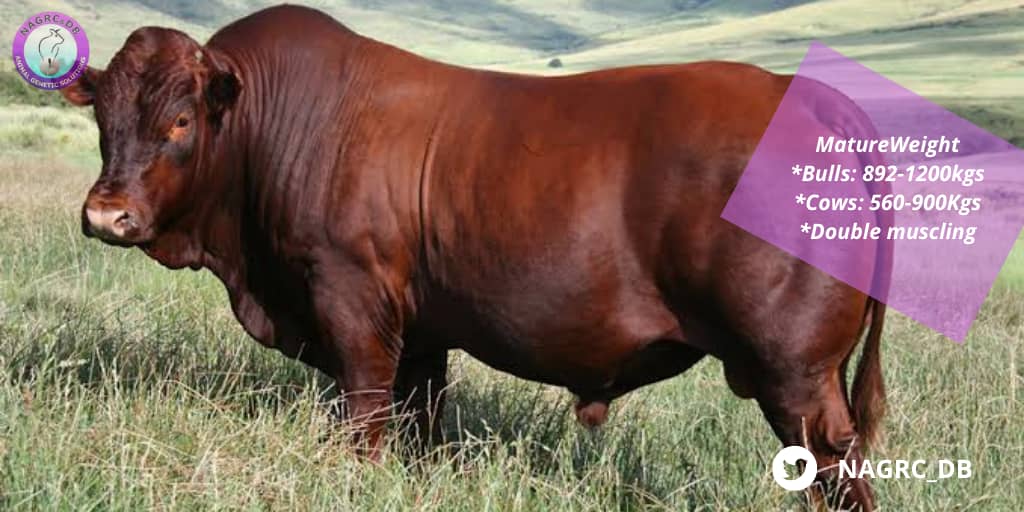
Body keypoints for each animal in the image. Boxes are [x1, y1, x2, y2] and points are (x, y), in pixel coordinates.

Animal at [61, 5, 888, 510]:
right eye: (104, 115)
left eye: (179, 120)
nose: (106, 214)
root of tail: (811, 99)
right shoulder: (422, 333)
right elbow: (421, 426)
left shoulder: (351, 304)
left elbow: (365, 420)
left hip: (797, 376)